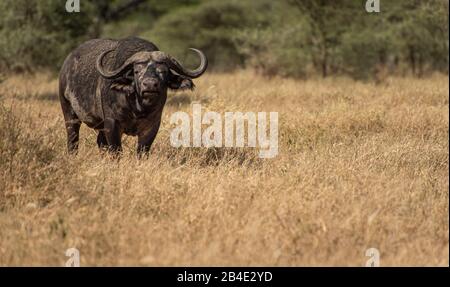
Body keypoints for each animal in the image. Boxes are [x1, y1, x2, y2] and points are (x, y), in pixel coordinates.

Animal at [58, 37, 207, 158]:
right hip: (69, 113)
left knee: (100, 142)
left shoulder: (152, 125)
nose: (150, 84)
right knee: (73, 140)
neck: (137, 107)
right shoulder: (112, 124)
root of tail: (66, 65)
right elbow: (116, 151)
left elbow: (142, 151)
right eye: (136, 71)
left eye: (163, 71)